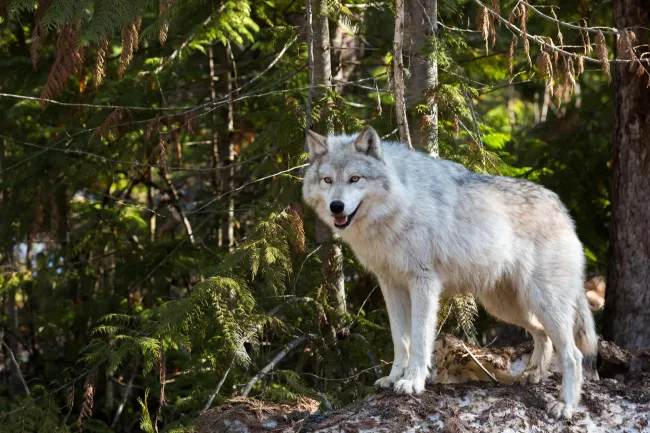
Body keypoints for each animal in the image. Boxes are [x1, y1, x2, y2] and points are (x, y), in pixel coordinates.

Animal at [302, 126, 598, 420]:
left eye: (355, 178)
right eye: (327, 180)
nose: (336, 206)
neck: (399, 205)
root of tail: (562, 209)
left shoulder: (423, 282)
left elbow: (419, 339)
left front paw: (412, 381)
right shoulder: (390, 285)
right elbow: (400, 340)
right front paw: (394, 378)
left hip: (542, 303)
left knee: (573, 355)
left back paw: (565, 406)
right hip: (506, 307)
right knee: (541, 335)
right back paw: (532, 375)